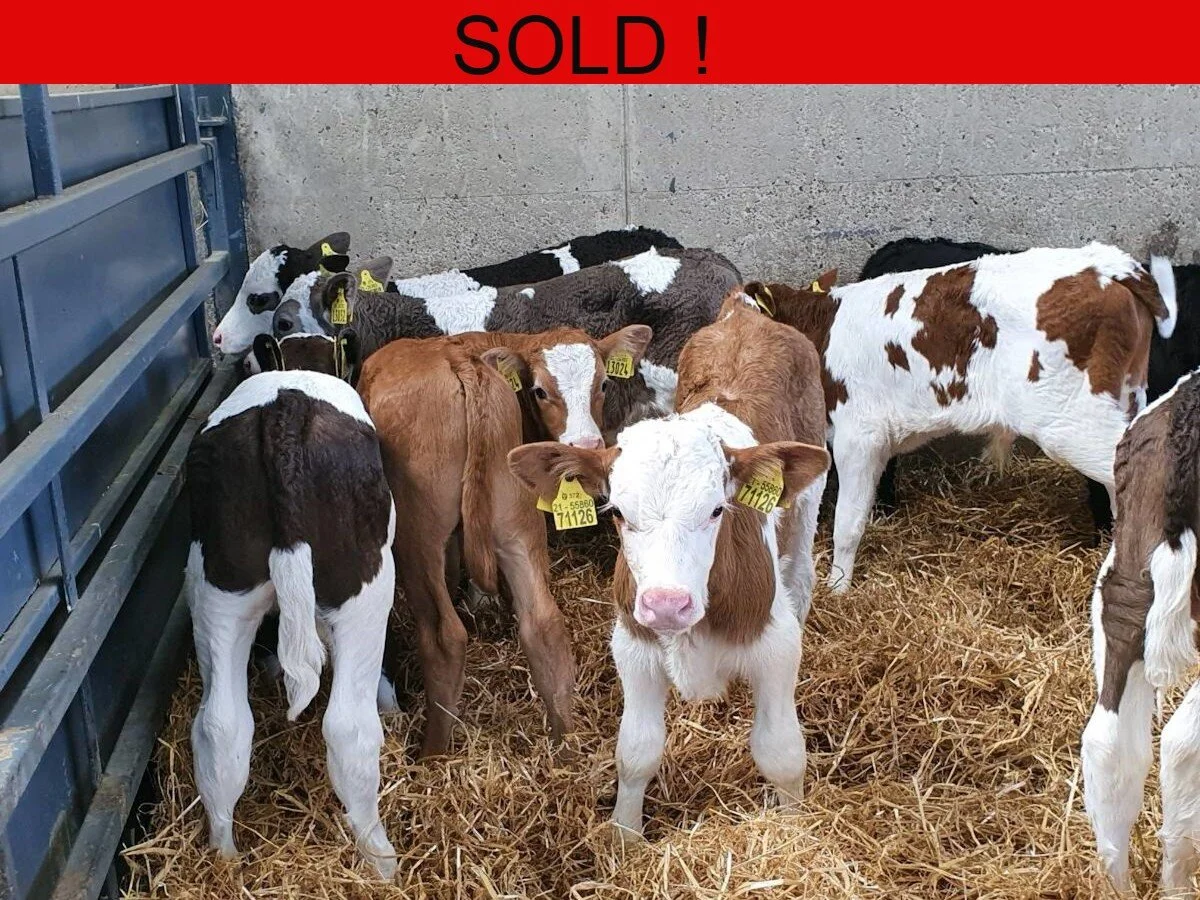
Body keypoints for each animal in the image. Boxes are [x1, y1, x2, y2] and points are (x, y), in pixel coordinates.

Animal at [185, 368, 397, 878]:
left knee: (221, 725)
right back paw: (383, 862)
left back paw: (224, 857)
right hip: (367, 588)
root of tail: (285, 411)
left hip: (218, 588)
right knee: (350, 729)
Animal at [354, 320, 651, 756]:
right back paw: (564, 749)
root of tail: (462, 364)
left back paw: (431, 756)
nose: (586, 445)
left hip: (416, 533)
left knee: (443, 636)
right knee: (543, 623)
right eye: (540, 390)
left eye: (604, 384)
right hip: (517, 522)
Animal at [508, 290, 830, 840]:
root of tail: (743, 314)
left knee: (803, 572)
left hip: (810, 489)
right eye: (616, 511)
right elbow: (635, 752)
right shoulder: (633, 646)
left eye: (718, 510)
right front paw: (624, 836)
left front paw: (793, 830)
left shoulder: (775, 647)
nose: (666, 604)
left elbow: (781, 753)